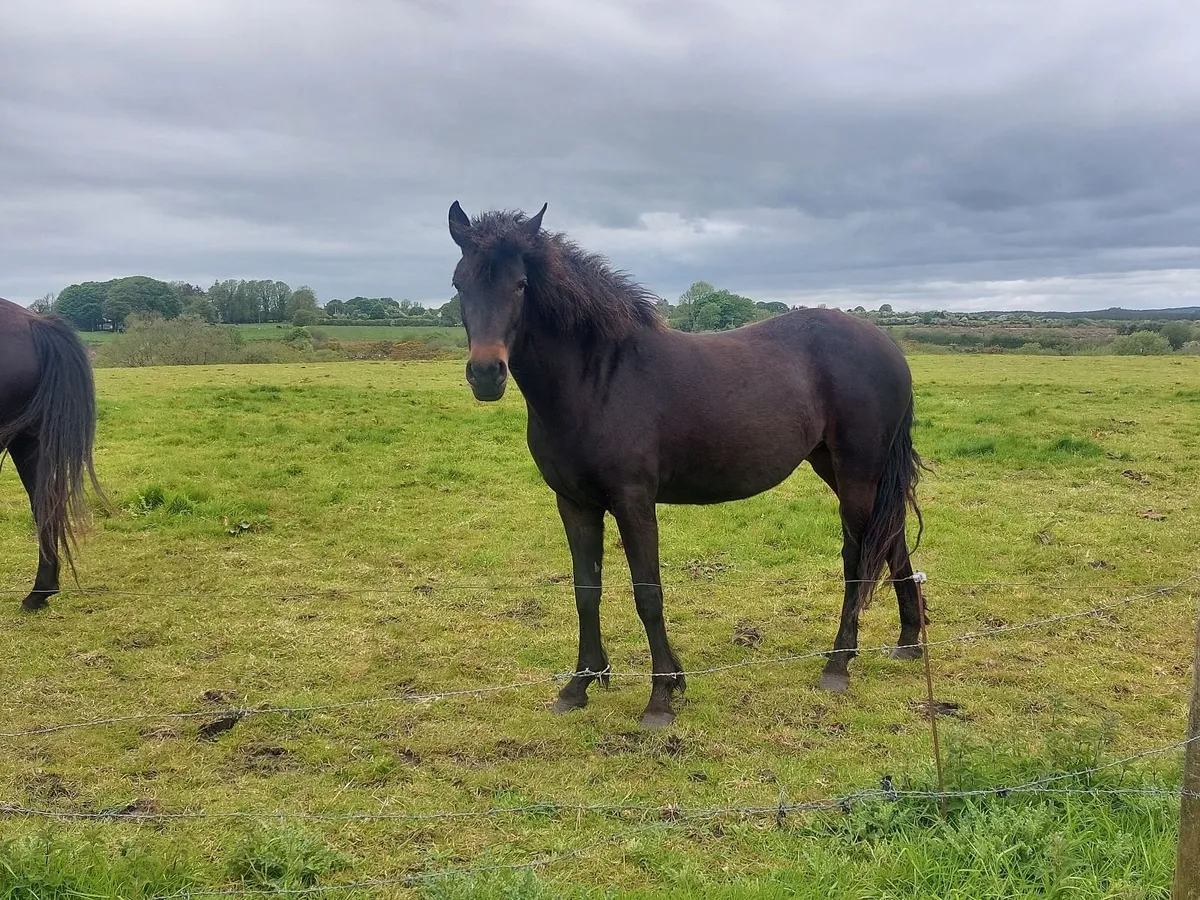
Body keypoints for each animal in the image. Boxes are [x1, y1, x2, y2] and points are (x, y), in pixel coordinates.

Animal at [447, 202, 925, 729]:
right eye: (459, 283)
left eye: (520, 285)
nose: (485, 373)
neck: (599, 379)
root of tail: (889, 347)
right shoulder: (574, 503)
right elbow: (586, 590)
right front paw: (580, 685)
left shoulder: (633, 501)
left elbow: (647, 593)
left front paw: (661, 696)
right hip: (840, 468)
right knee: (891, 537)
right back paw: (909, 642)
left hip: (857, 468)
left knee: (859, 555)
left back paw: (838, 664)